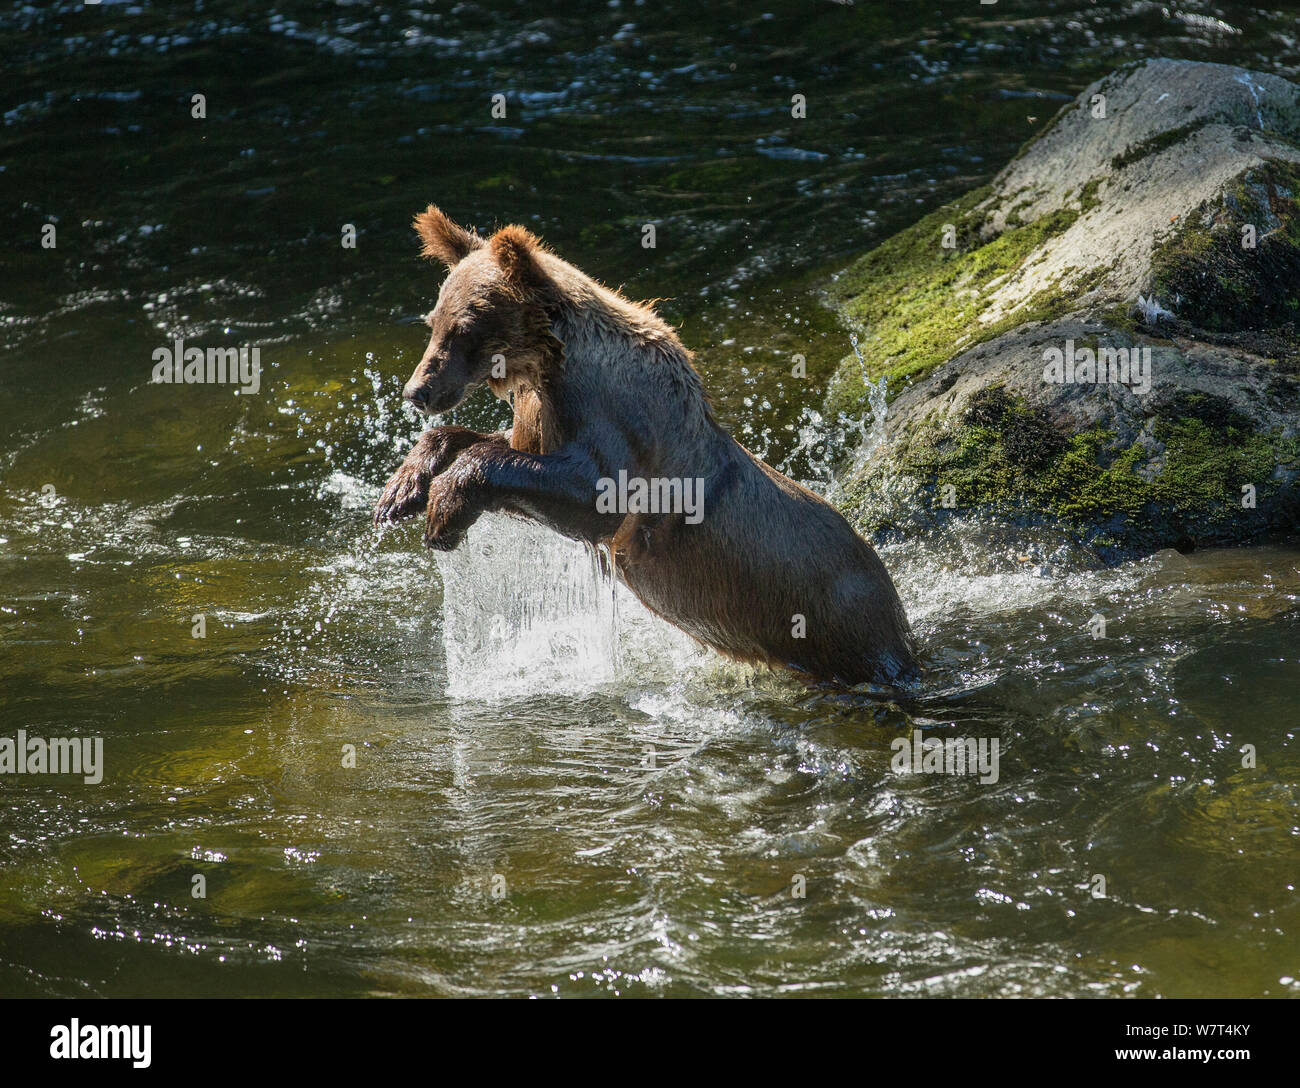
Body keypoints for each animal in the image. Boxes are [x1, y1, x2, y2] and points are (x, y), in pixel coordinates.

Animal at [377, 205, 920, 681]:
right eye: (433, 322)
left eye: (465, 327)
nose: (417, 391)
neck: (550, 369)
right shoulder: (541, 417)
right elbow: (494, 445)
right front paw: (403, 489)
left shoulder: (619, 422)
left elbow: (591, 494)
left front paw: (444, 509)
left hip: (839, 614)